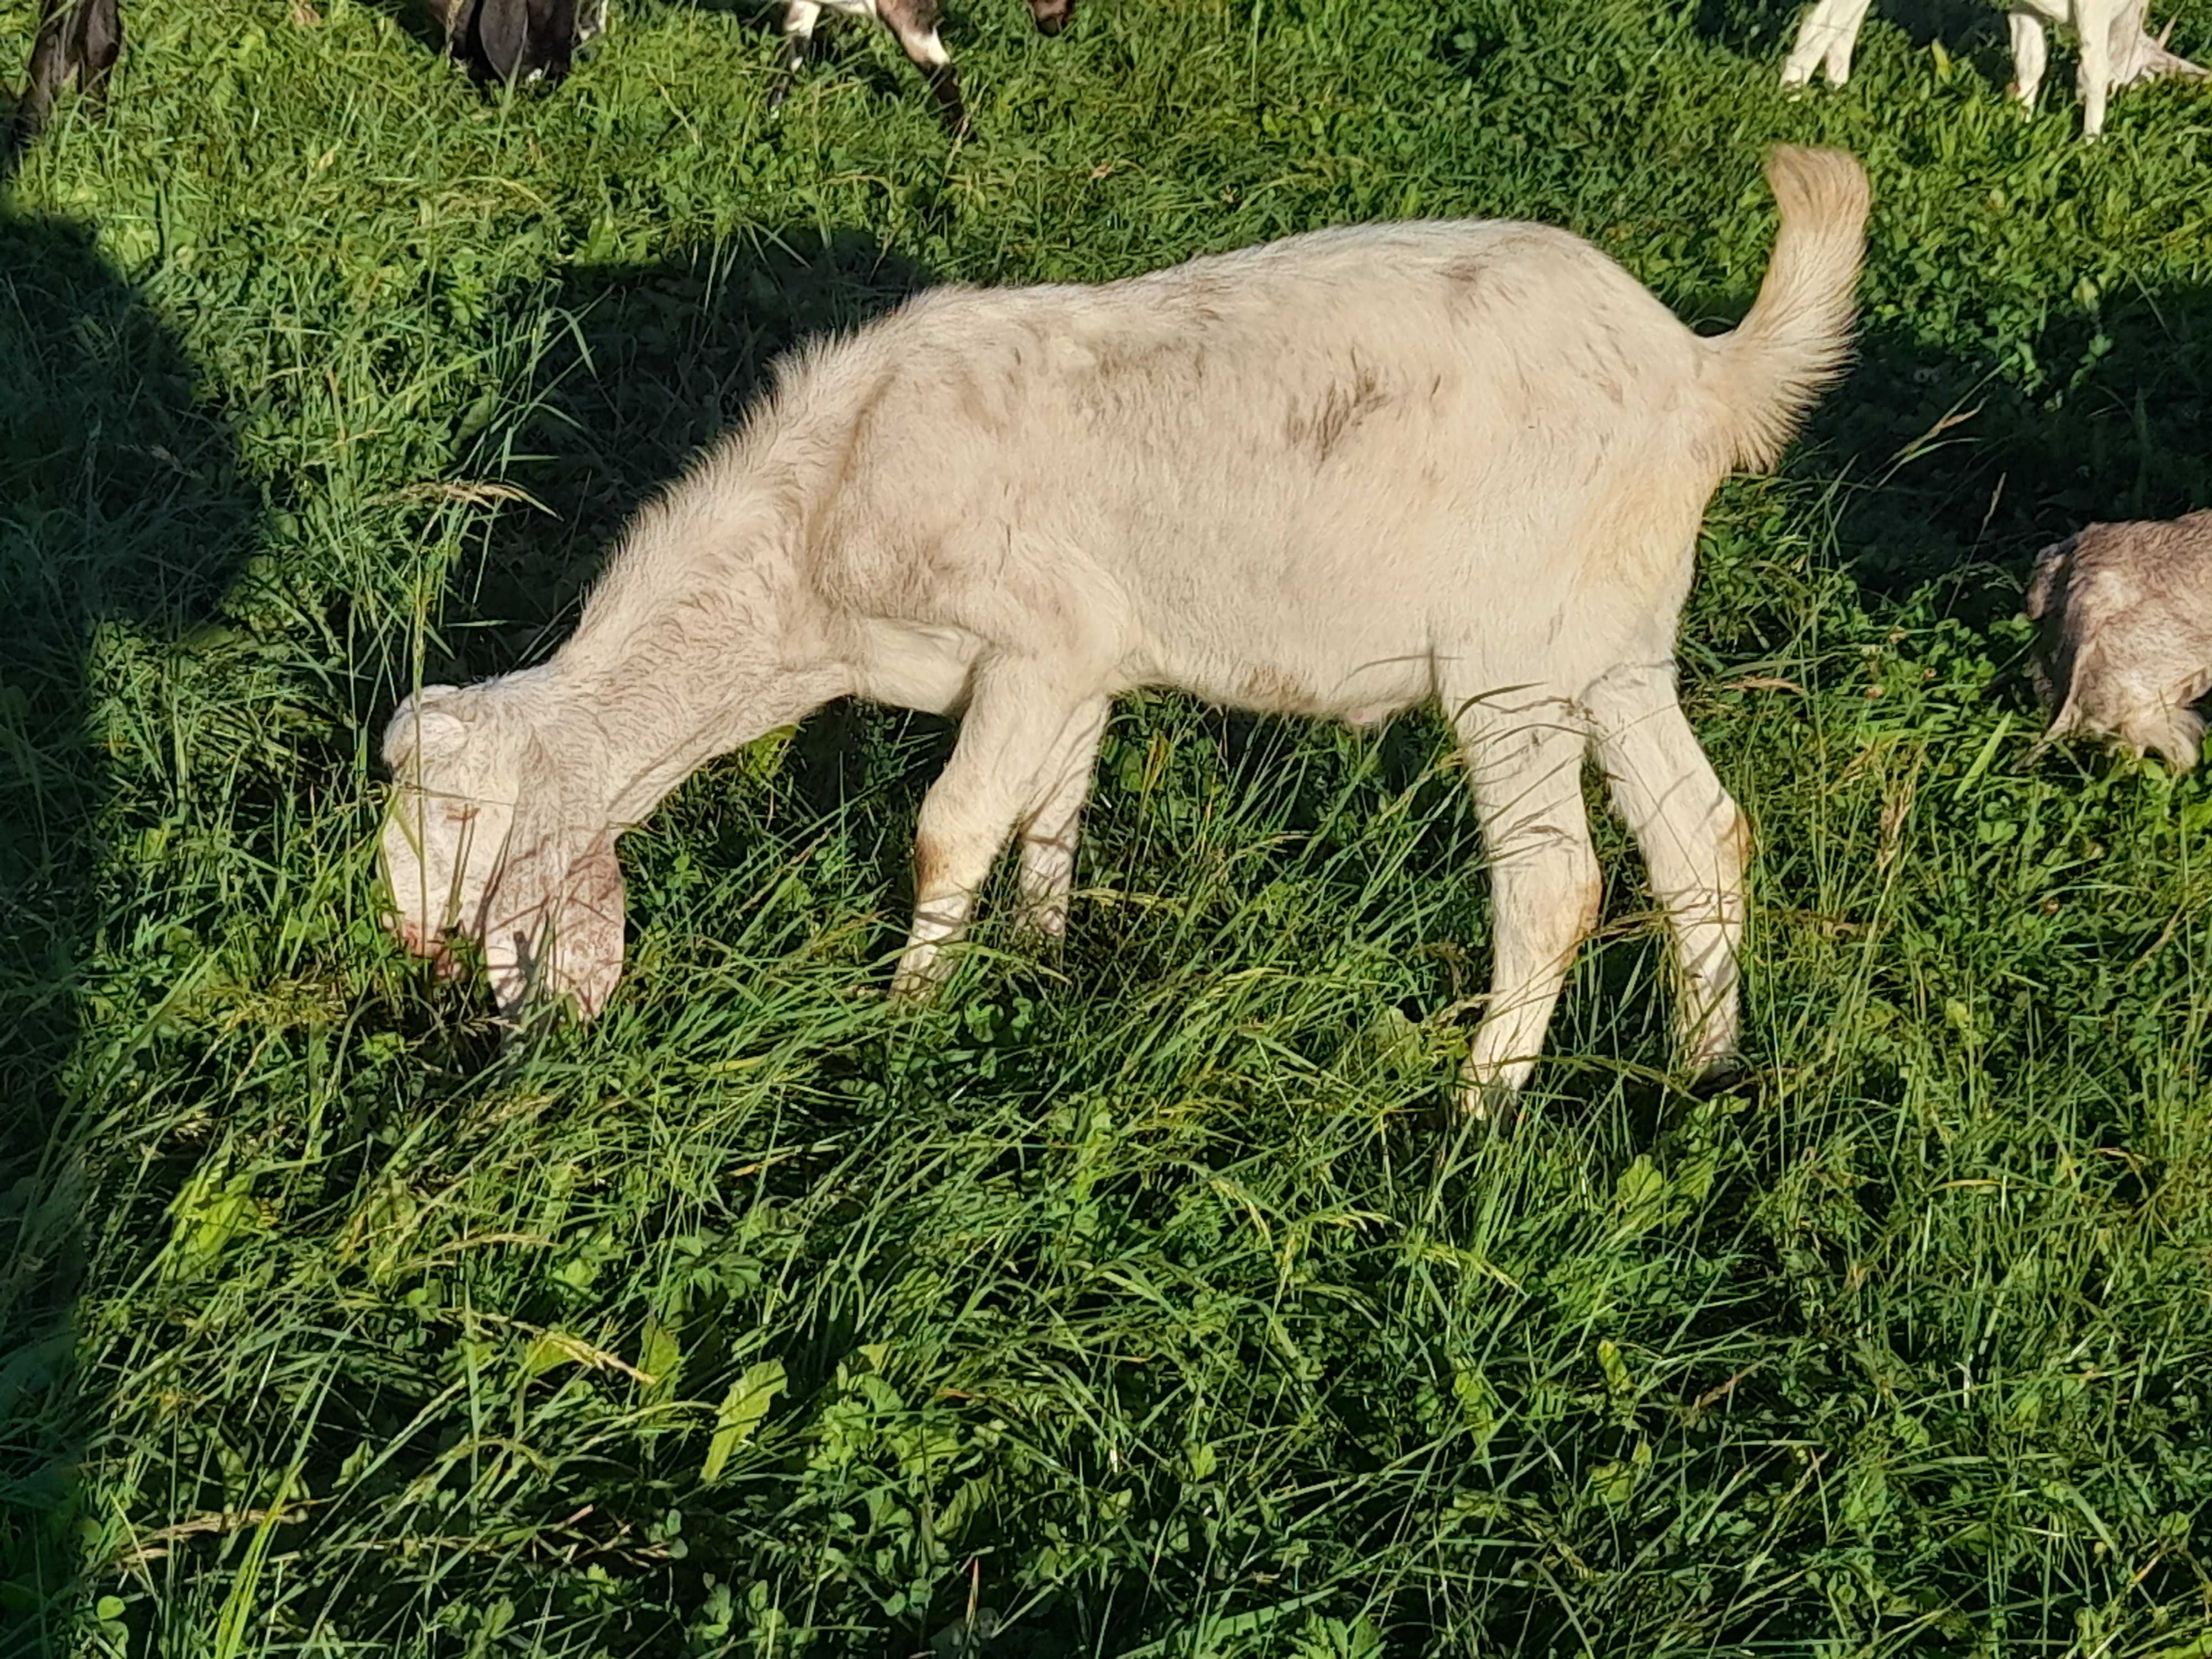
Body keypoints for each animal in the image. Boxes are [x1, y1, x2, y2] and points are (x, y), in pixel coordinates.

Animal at [380, 146, 1867, 1119]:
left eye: (457, 820)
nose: (418, 962)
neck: (813, 536)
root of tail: (1699, 373)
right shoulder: (1079, 663)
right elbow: (1050, 816)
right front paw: (1036, 962)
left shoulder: (1033, 642)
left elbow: (950, 828)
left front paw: (903, 1020)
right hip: (1609, 647)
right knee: (1699, 835)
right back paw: (1704, 1071)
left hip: (1507, 661)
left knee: (1556, 882)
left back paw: (1476, 1113)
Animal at [765, 0, 1075, 133]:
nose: (1058, 25)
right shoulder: (906, 10)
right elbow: (940, 69)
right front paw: (962, 145)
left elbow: (794, 53)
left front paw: (772, 118)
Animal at [1778, 0, 2212, 135]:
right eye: (2146, 77)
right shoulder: (2094, 11)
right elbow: (2093, 70)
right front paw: (2092, 144)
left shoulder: (2026, 8)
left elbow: (2030, 63)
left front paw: (2020, 125)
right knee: (1822, 26)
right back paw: (1792, 102)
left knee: (1839, 26)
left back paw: (1836, 95)